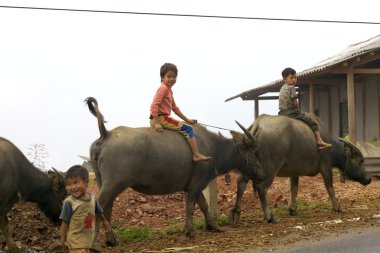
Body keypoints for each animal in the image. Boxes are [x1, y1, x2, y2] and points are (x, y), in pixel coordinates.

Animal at [84, 97, 262, 245]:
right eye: (254, 151)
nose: (261, 173)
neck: (212, 147)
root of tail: (106, 134)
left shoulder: (195, 186)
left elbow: (203, 205)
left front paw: (213, 226)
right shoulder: (196, 184)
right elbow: (191, 207)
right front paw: (190, 232)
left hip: (103, 182)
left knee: (107, 209)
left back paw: (110, 240)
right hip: (114, 183)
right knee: (98, 206)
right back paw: (94, 244)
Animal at [229, 113, 372, 224]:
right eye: (361, 161)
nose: (369, 179)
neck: (330, 145)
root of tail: (257, 124)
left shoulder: (294, 172)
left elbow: (294, 189)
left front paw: (292, 209)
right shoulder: (326, 166)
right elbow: (330, 187)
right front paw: (337, 207)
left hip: (250, 166)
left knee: (241, 182)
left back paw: (236, 213)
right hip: (269, 168)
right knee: (261, 188)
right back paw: (270, 216)